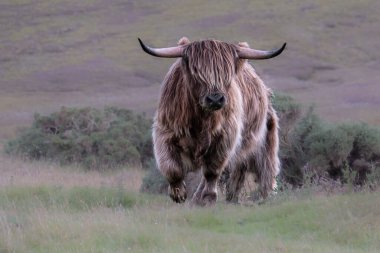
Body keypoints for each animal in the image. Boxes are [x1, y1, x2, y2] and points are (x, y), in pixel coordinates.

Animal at [139, 36, 284, 206]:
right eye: (196, 72)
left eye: (227, 74)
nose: (215, 99)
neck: (201, 119)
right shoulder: (165, 130)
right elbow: (171, 167)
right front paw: (178, 193)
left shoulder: (225, 138)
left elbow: (212, 170)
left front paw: (208, 197)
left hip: (263, 145)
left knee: (259, 172)